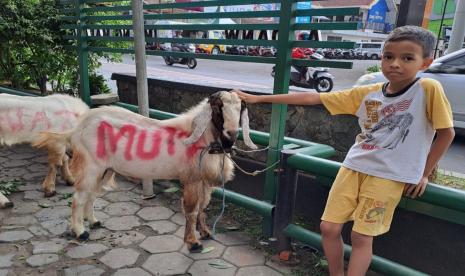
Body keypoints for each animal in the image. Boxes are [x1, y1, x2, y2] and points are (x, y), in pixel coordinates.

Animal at [33, 91, 258, 252]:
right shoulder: (192, 179)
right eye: (218, 109)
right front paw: (193, 243)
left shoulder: (203, 181)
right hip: (90, 166)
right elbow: (192, 210)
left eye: (240, 110)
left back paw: (94, 222)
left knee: (91, 196)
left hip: (104, 169)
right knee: (78, 198)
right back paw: (80, 232)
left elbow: (203, 207)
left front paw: (205, 233)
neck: (200, 137)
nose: (230, 137)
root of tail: (77, 129)